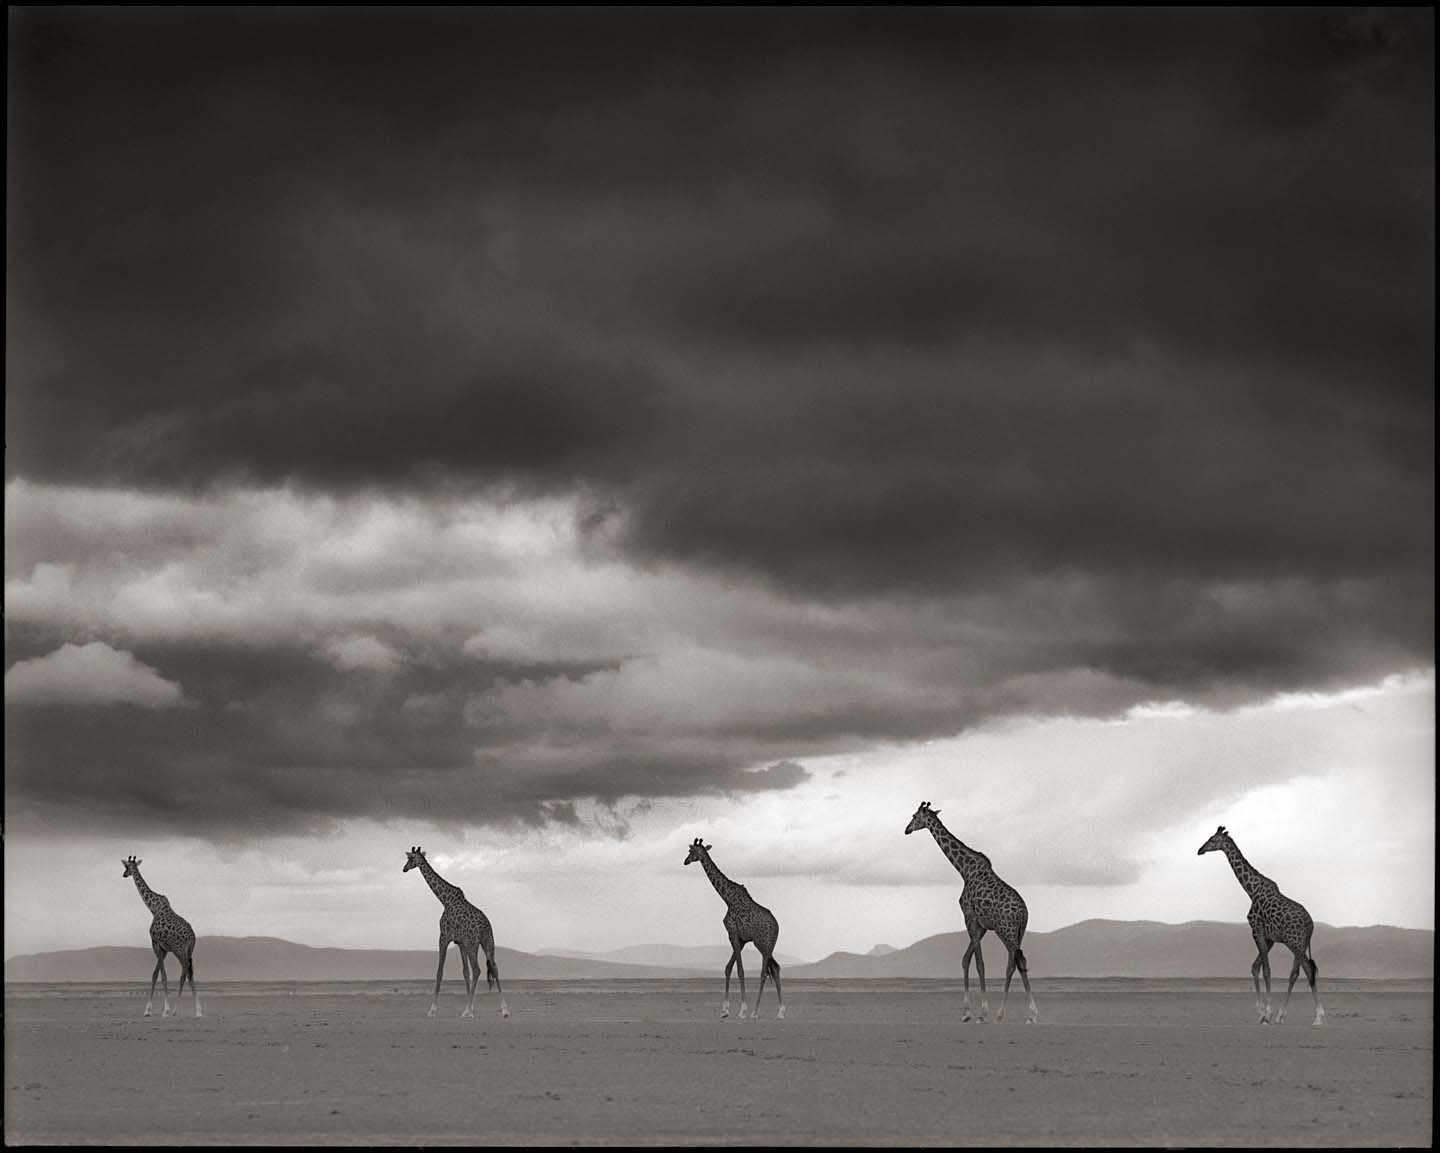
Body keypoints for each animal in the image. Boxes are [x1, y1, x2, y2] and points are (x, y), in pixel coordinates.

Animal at [120, 852, 200, 1019]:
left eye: (126, 866)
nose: (124, 874)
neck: (153, 908)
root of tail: (192, 936)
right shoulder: (163, 949)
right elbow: (155, 974)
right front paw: (147, 1010)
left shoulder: (155, 943)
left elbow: (163, 977)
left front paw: (165, 1010)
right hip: (188, 951)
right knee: (188, 973)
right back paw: (194, 1010)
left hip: (179, 950)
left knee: (185, 973)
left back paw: (180, 1010)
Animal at [403, 846, 509, 1019]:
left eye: (410, 858)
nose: (404, 869)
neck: (445, 900)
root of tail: (485, 925)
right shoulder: (460, 942)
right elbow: (465, 972)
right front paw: (470, 1008)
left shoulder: (444, 937)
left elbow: (439, 972)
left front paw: (432, 1009)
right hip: (488, 941)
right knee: (494, 968)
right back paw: (505, 1009)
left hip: (473, 943)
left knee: (478, 969)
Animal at [679, 834, 783, 1019]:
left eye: (691, 851)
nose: (685, 861)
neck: (727, 898)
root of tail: (777, 926)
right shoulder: (740, 939)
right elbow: (728, 967)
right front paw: (725, 1009)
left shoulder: (733, 934)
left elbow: (740, 970)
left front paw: (742, 1010)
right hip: (769, 945)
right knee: (776, 967)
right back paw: (780, 1011)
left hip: (762, 944)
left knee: (764, 972)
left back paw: (755, 1011)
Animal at [898, 800, 1036, 1024]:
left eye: (914, 816)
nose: (906, 830)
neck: (964, 869)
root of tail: (1023, 914)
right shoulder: (981, 925)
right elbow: (965, 959)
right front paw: (967, 1012)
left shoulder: (969, 917)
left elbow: (979, 963)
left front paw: (982, 1012)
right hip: (1018, 932)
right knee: (1019, 961)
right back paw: (1030, 1014)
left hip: (1005, 930)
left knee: (1013, 963)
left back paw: (1002, 1013)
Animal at [1198, 817, 1319, 1024]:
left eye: (1212, 839)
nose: (1200, 850)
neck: (1251, 890)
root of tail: (1310, 924)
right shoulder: (1269, 937)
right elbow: (1256, 967)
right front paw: (1262, 1011)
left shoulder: (1257, 930)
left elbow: (1266, 970)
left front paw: (1266, 1012)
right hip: (1299, 944)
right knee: (1296, 972)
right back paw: (1282, 1015)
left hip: (1295, 943)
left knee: (1308, 969)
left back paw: (1318, 1016)